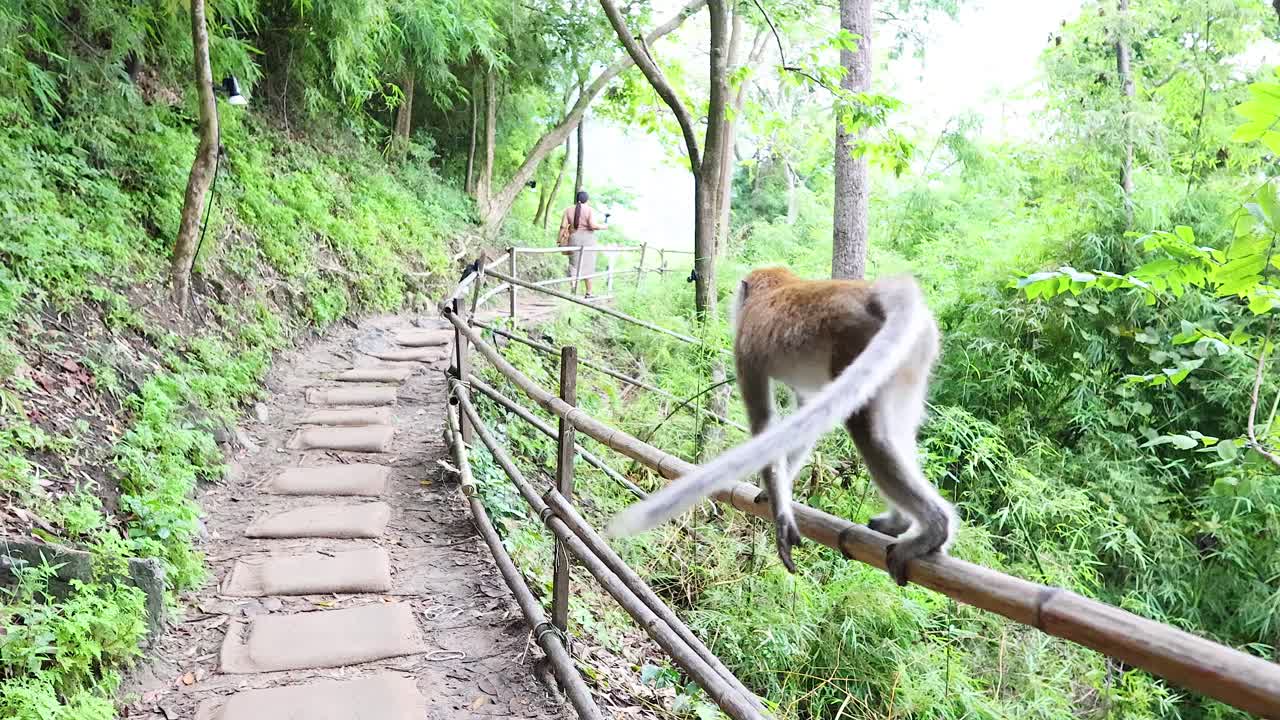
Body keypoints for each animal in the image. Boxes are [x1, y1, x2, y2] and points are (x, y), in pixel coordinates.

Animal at [607, 267, 958, 586]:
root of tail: (875, 292)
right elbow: (804, 413)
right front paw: (778, 490)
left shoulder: (744, 346)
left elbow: (764, 422)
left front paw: (780, 512)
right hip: (914, 355)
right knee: (897, 432)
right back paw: (900, 521)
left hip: (858, 342)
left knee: (871, 435)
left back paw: (934, 530)